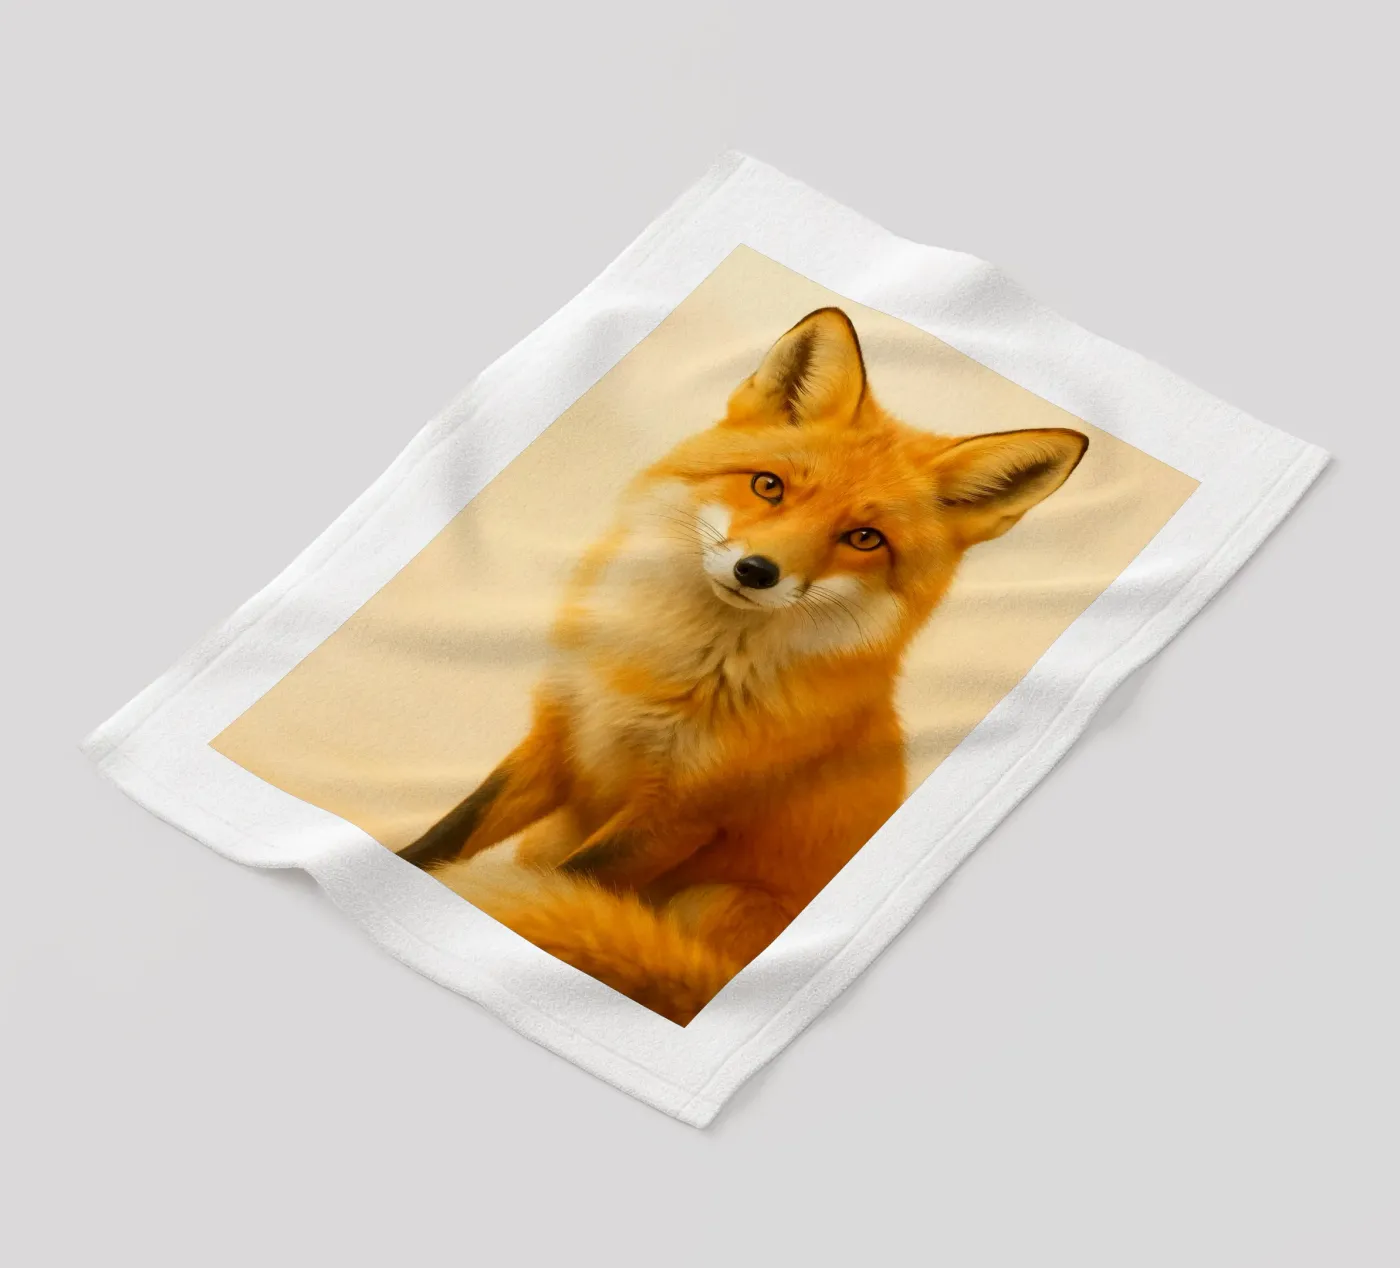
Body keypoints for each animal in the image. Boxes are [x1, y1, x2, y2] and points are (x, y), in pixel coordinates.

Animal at [401, 307, 1087, 1024]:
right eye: (769, 486)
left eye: (863, 539)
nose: (757, 571)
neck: (670, 668)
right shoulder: (557, 734)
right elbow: (447, 835)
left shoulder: (680, 816)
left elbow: (567, 887)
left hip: (712, 899)